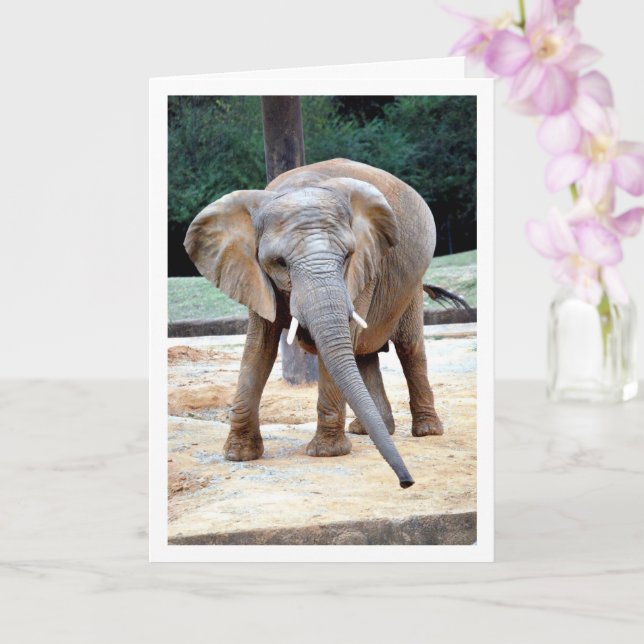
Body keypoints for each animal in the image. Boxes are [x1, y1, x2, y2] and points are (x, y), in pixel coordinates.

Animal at [185, 158, 464, 488]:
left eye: (346, 256)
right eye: (279, 263)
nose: (406, 482)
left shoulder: (364, 266)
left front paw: (327, 453)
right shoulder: (252, 274)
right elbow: (257, 348)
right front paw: (238, 455)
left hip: (410, 288)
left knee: (409, 348)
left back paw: (427, 431)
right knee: (362, 354)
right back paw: (369, 430)